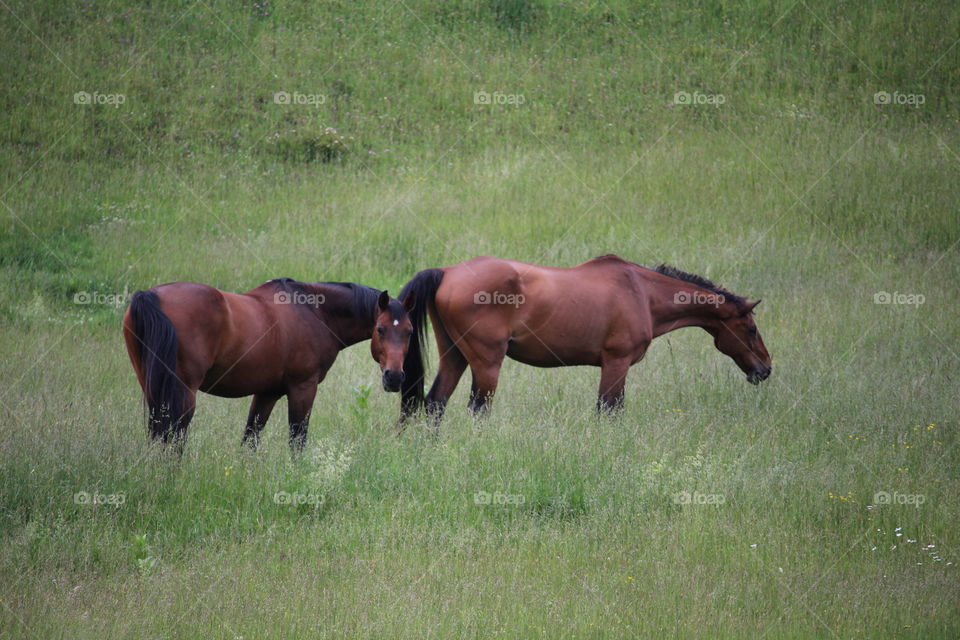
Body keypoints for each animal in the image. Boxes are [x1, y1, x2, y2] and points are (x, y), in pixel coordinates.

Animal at [122, 278, 414, 452]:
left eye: (410, 331)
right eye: (380, 329)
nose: (394, 377)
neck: (315, 312)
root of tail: (150, 296)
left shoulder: (267, 393)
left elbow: (250, 439)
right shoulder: (303, 388)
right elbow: (297, 440)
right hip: (182, 394)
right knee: (173, 438)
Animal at [398, 254, 772, 424]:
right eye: (751, 329)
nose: (765, 369)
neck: (642, 292)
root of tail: (448, 272)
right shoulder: (617, 363)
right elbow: (609, 410)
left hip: (454, 356)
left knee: (435, 403)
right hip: (486, 363)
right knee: (478, 409)